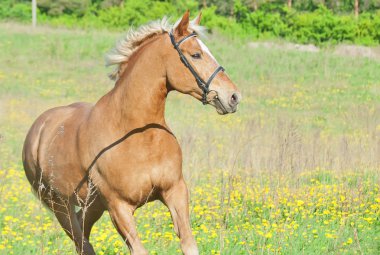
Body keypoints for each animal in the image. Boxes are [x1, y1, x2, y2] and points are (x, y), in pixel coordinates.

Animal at [22, 11, 240, 255]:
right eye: (196, 54)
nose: (233, 96)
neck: (140, 137)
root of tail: (38, 129)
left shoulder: (175, 191)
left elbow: (189, 245)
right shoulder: (119, 208)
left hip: (92, 206)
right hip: (61, 206)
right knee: (81, 241)